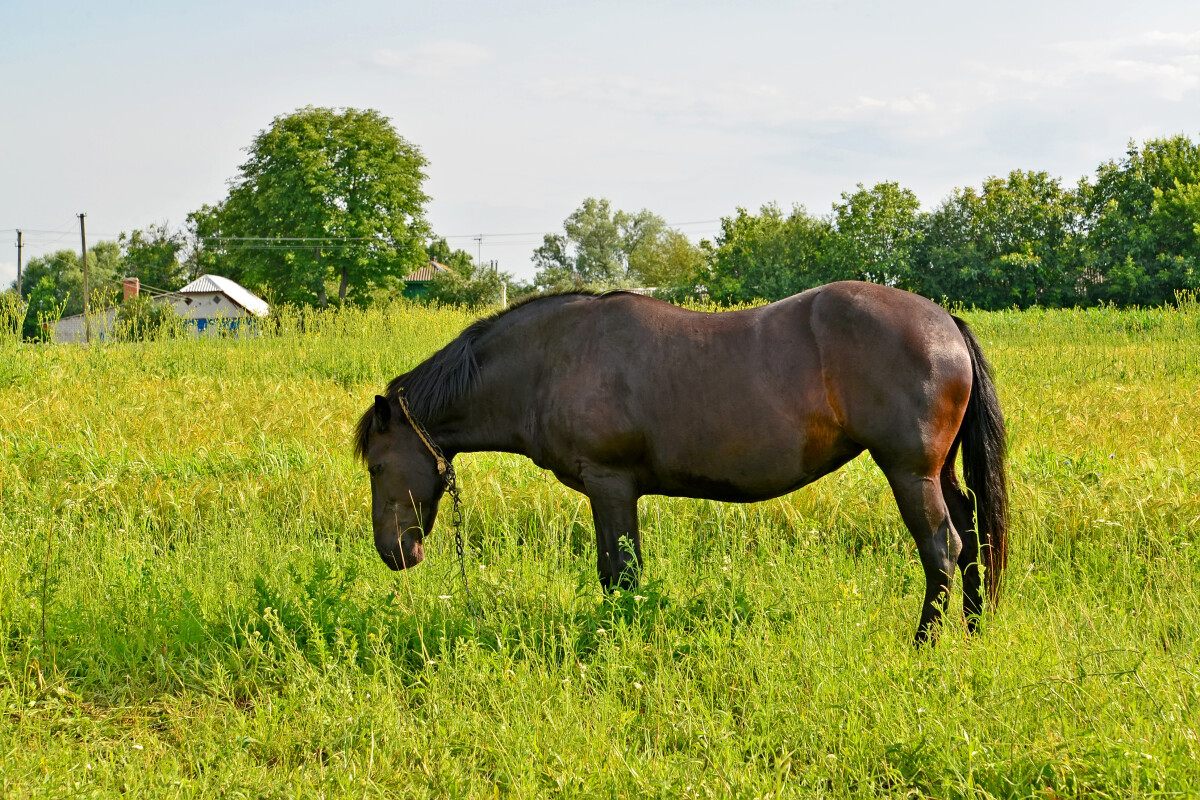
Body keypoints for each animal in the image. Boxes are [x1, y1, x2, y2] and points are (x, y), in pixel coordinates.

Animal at [352, 281, 1003, 642]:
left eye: (377, 467)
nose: (395, 553)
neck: (551, 360)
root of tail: (944, 322)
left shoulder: (610, 485)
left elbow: (621, 574)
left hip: (909, 472)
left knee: (942, 548)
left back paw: (923, 645)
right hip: (940, 473)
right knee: (972, 535)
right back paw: (973, 630)